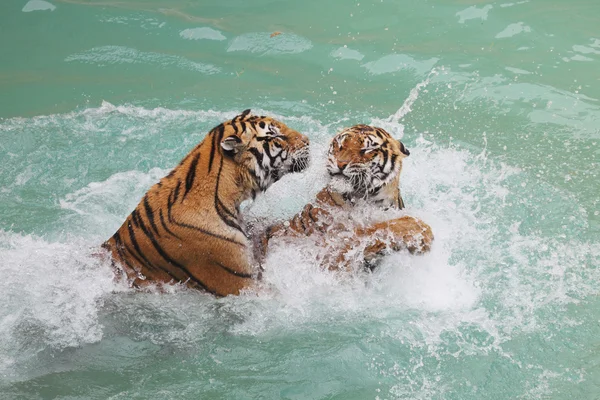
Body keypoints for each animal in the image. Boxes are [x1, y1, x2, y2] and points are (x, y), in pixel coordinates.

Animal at [255, 124, 434, 272]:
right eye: (339, 145)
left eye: (367, 149)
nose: (340, 163)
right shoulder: (333, 245)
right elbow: (376, 228)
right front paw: (422, 232)